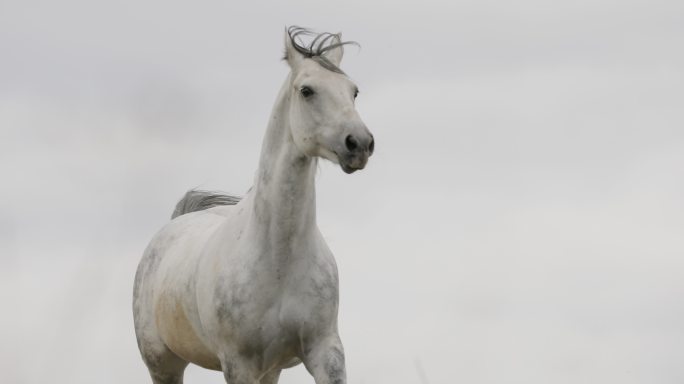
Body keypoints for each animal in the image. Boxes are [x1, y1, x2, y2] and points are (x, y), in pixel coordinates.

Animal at [133, 27, 374, 384]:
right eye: (307, 91)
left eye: (353, 92)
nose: (359, 143)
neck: (279, 258)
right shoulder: (239, 363)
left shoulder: (325, 351)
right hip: (163, 364)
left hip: (271, 369)